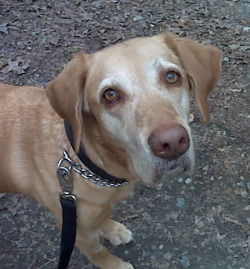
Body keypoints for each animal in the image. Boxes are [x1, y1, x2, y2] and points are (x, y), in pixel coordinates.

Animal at [0, 30, 222, 266]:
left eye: (172, 77)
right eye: (110, 94)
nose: (171, 143)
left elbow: (104, 217)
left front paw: (112, 230)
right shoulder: (78, 231)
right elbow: (98, 252)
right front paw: (115, 264)